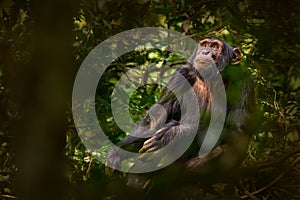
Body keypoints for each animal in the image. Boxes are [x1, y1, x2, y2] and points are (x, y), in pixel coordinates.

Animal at [106, 38, 254, 192]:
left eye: (214, 46)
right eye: (205, 45)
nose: (205, 52)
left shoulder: (243, 83)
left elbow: (236, 131)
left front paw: (170, 134)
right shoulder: (181, 74)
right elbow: (157, 116)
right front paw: (117, 153)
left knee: (222, 150)